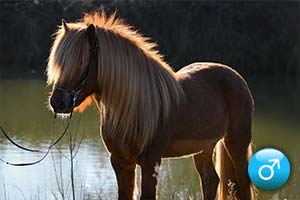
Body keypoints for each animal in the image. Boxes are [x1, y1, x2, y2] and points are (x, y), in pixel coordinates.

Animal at [47, 12, 255, 200]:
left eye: (81, 63)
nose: (58, 103)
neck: (134, 107)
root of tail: (235, 76)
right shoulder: (120, 162)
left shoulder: (150, 162)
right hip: (204, 147)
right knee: (210, 180)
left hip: (236, 143)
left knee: (242, 182)